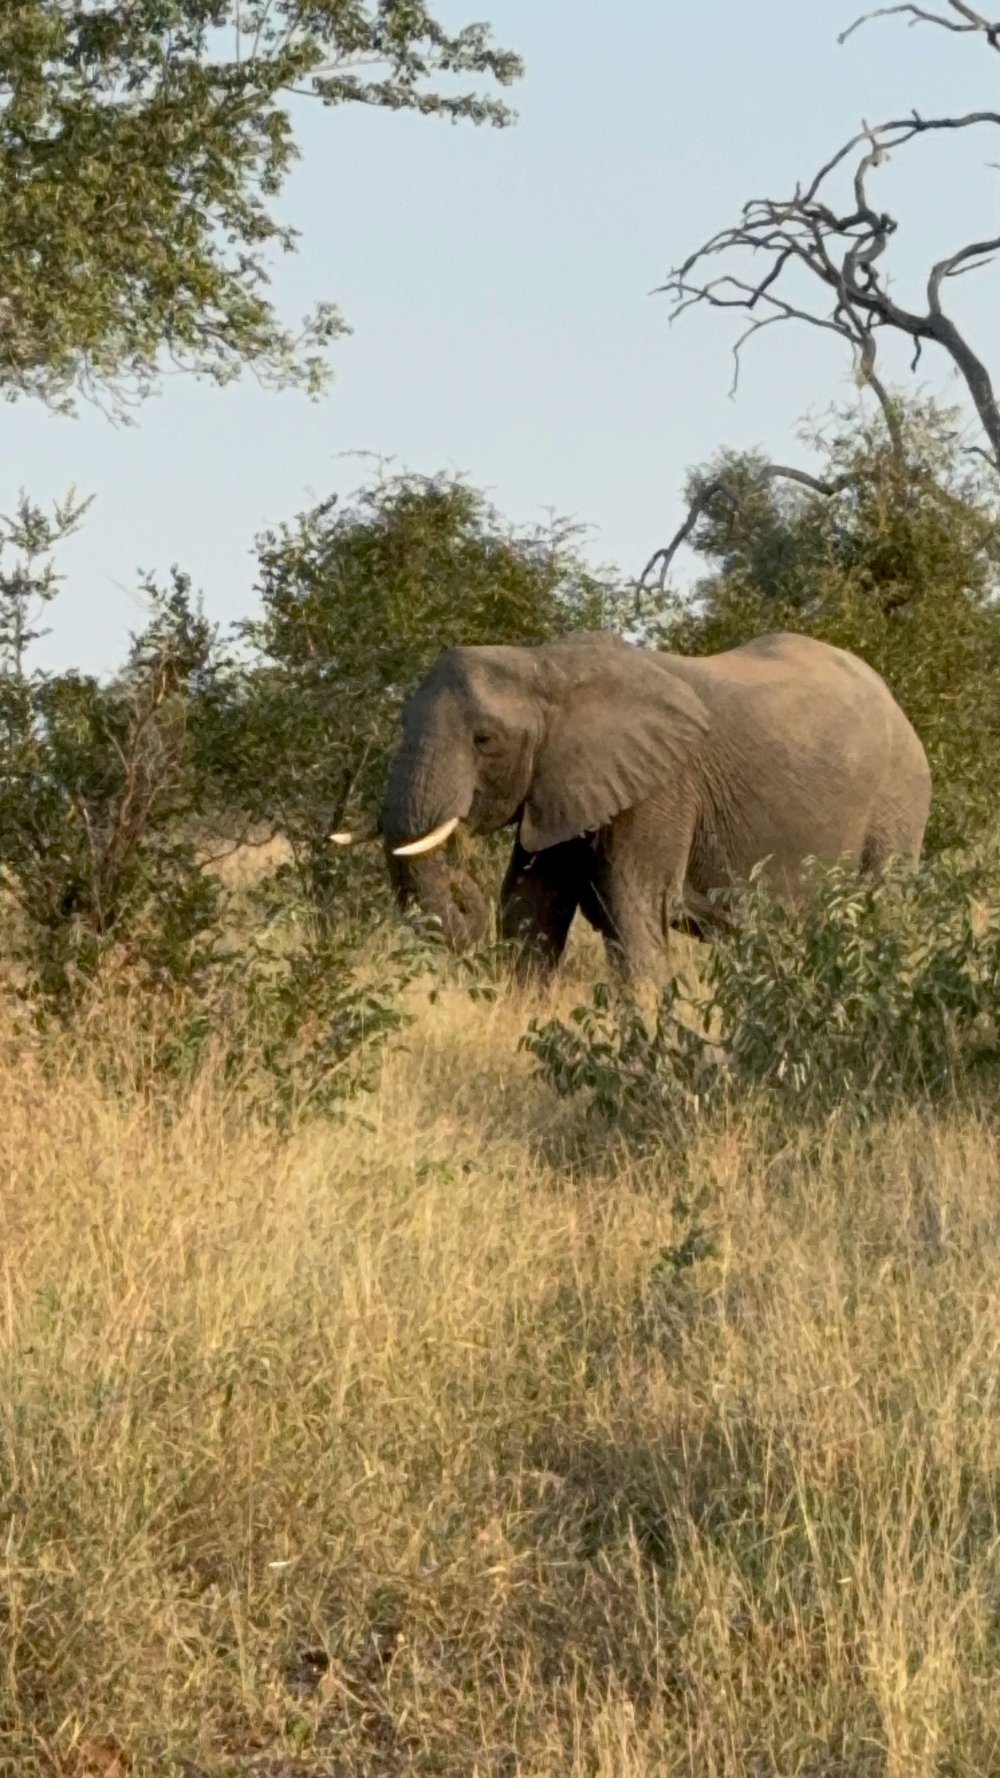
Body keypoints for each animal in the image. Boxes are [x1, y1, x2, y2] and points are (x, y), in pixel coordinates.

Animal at [366, 629, 931, 985]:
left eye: (485, 740)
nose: (461, 884)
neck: (544, 665)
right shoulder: (567, 783)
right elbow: (531, 904)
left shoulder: (660, 787)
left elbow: (631, 903)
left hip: (898, 803)